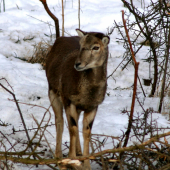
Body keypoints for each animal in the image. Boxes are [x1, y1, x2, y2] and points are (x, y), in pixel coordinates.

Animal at [40, 0, 111, 169]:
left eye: (96, 47)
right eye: (81, 45)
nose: (78, 64)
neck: (87, 94)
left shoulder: (93, 105)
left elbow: (86, 131)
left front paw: (86, 164)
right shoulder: (69, 99)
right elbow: (71, 128)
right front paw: (71, 159)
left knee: (74, 123)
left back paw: (77, 153)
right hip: (53, 92)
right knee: (60, 121)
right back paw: (59, 156)